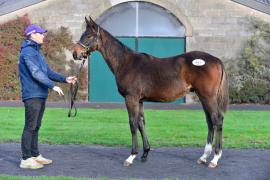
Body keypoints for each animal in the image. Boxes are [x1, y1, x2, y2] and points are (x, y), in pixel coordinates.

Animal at [73, 16, 229, 169]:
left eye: (88, 36)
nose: (75, 54)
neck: (126, 63)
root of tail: (217, 60)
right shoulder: (140, 100)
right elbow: (141, 123)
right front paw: (145, 153)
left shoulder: (131, 98)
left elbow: (133, 124)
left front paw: (131, 156)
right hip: (203, 97)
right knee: (210, 122)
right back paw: (203, 157)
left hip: (208, 97)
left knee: (217, 120)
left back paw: (215, 158)